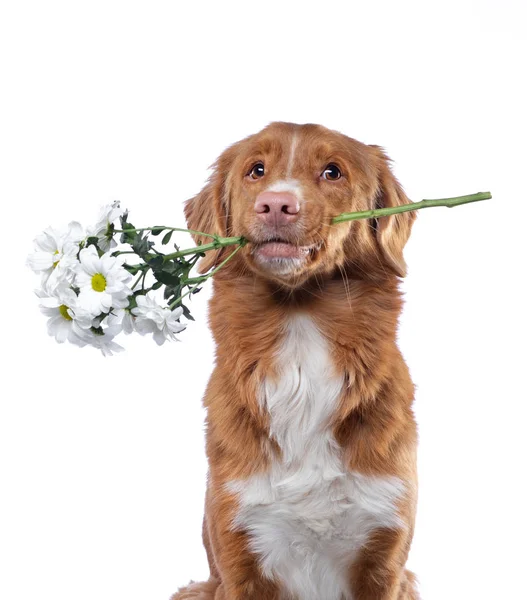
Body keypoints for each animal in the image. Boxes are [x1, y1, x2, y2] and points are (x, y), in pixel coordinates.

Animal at [173, 123, 420, 600]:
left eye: (332, 171)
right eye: (256, 170)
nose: (276, 204)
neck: (299, 323)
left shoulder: (384, 558)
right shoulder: (240, 552)